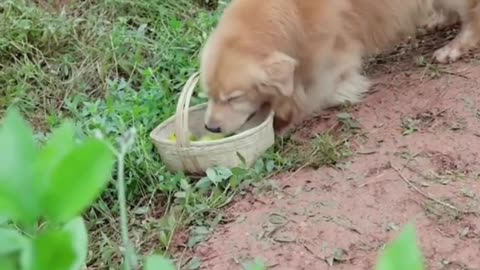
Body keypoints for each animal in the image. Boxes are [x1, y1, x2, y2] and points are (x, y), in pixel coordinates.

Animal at [199, 0, 480, 135]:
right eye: (209, 95)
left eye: (234, 98)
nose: (210, 128)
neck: (290, 13)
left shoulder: (330, 55)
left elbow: (310, 93)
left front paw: (283, 121)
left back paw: (455, 47)